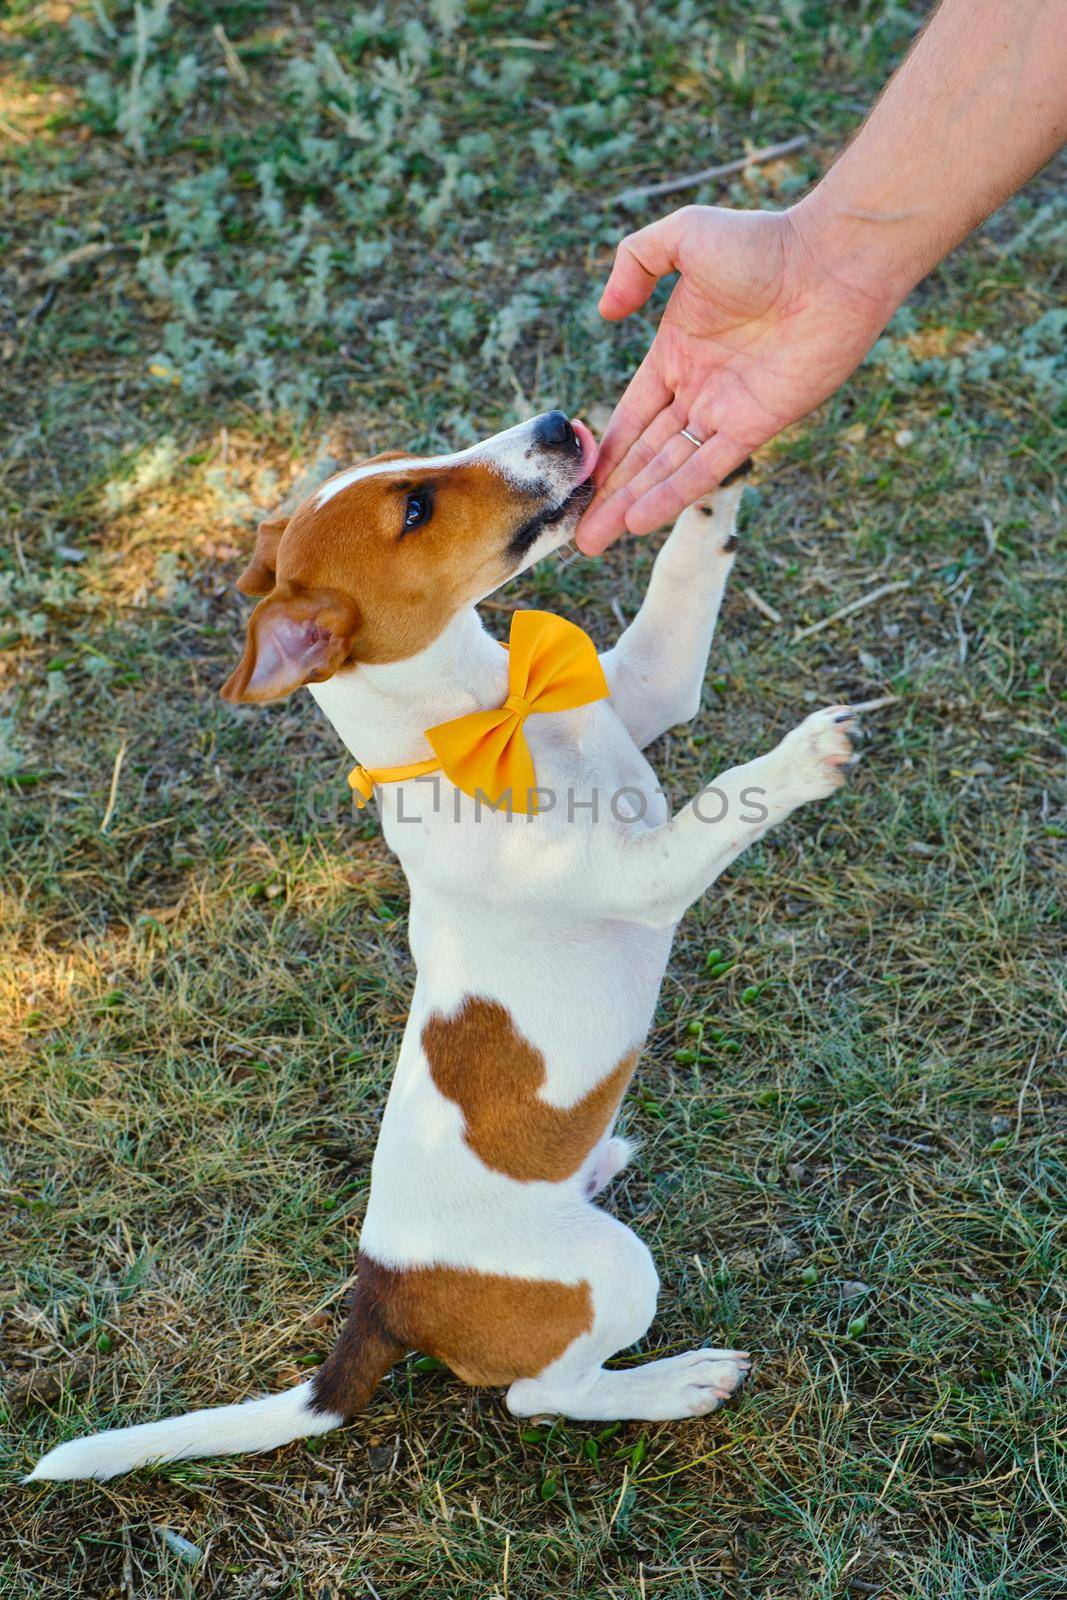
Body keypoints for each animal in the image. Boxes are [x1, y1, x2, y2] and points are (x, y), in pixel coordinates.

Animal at [29, 406, 857, 1478]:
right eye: (415, 508)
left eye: (413, 460)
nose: (556, 423)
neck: (493, 719)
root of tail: (381, 1300)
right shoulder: (646, 880)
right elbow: (725, 798)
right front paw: (804, 755)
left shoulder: (652, 686)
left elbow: (683, 580)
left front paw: (709, 462)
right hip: (611, 1274)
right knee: (542, 1398)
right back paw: (675, 1385)